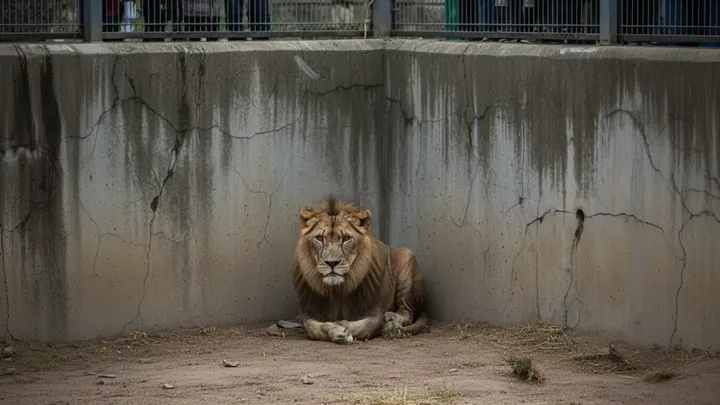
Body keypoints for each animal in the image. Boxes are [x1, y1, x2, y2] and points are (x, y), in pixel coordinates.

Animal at [290, 197, 428, 344]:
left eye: (346, 238)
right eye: (320, 238)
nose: (332, 263)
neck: (336, 291)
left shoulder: (374, 311)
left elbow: (366, 326)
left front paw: (344, 328)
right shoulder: (310, 312)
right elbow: (311, 328)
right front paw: (337, 330)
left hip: (407, 256)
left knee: (407, 312)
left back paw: (391, 320)